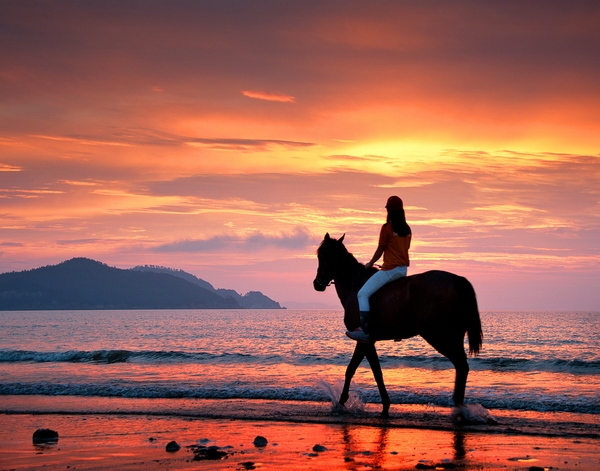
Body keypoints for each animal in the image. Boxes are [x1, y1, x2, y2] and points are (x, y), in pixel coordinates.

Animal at [314, 234, 482, 418]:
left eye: (321, 256)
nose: (317, 283)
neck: (354, 285)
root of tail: (457, 280)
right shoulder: (368, 341)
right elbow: (367, 370)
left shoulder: (364, 340)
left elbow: (361, 370)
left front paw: (343, 402)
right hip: (453, 336)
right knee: (461, 367)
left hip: (440, 337)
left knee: (461, 365)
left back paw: (459, 407)